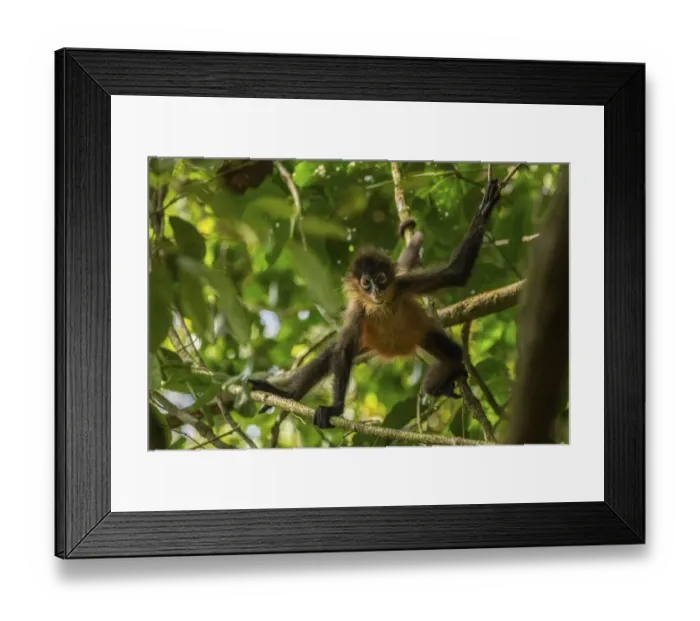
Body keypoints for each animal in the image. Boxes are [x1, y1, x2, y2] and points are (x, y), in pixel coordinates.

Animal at [249, 178, 502, 429]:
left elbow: (456, 274)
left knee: (453, 353)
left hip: (422, 334)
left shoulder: (402, 285)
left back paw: (439, 383)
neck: (382, 306)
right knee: (329, 355)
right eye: (366, 283)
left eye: (380, 279)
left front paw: (484, 209)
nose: (376, 291)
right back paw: (288, 395)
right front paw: (335, 408)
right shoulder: (358, 309)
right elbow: (342, 351)